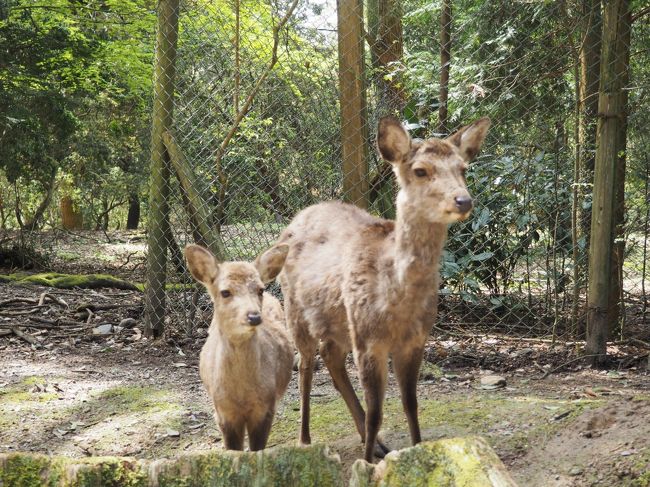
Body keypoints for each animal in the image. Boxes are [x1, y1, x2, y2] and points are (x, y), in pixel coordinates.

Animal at [184, 242, 294, 451]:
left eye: (259, 290)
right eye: (225, 292)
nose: (254, 316)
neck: (241, 394)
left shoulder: (266, 407)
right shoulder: (222, 410)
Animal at [276, 115, 490, 462]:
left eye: (463, 168)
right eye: (420, 170)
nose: (463, 200)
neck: (397, 302)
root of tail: (296, 218)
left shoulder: (415, 340)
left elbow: (410, 404)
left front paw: (415, 451)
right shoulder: (368, 339)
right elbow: (378, 411)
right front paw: (364, 464)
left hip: (338, 322)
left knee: (331, 357)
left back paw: (375, 443)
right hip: (294, 308)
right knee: (306, 365)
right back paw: (306, 439)